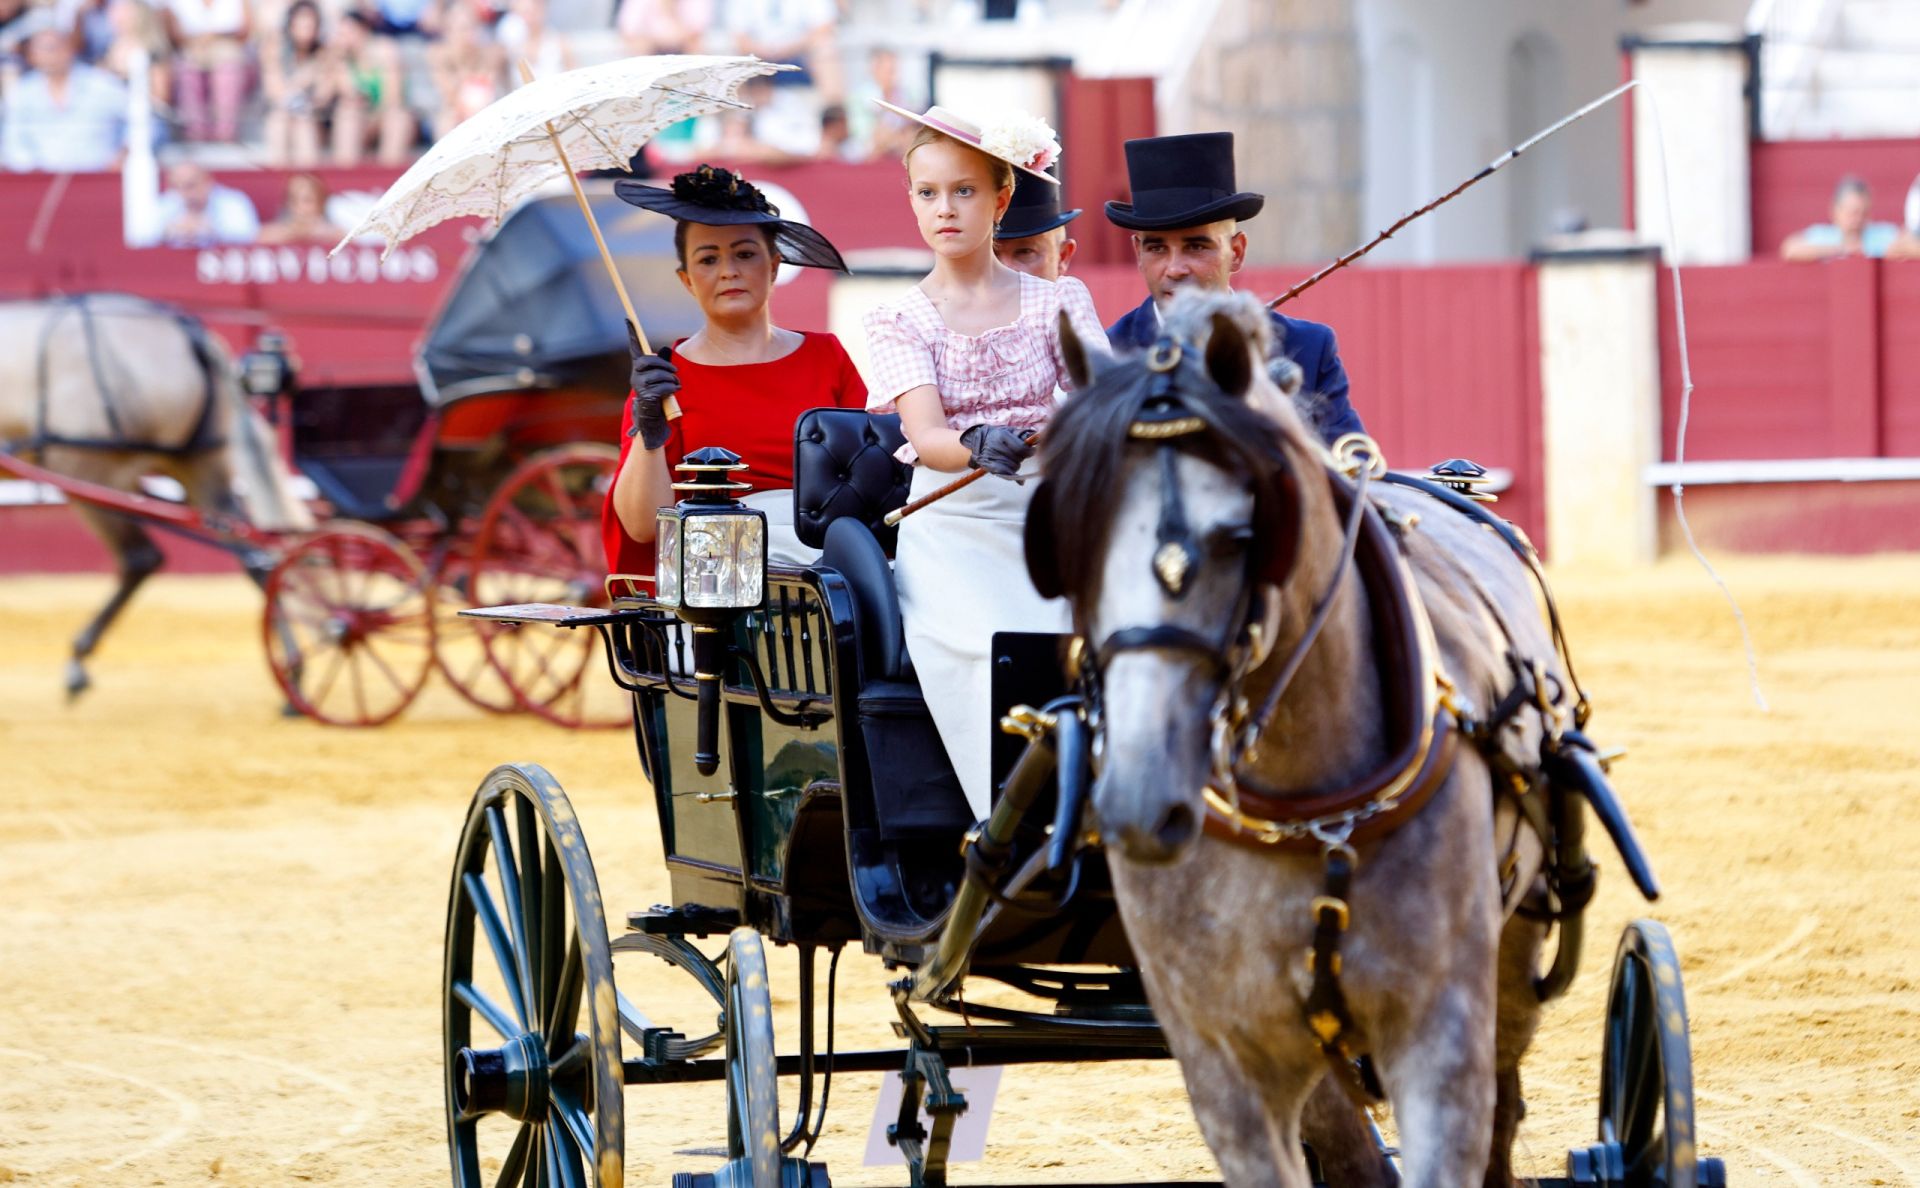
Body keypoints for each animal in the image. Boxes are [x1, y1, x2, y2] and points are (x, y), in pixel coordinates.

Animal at [0, 295, 311, 698]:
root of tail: (184, 329)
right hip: (197, 466)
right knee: (257, 558)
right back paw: (294, 673)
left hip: (88, 472)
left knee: (140, 557)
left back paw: (78, 659)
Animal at [1036, 289, 1559, 1188]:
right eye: (1068, 531)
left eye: (1247, 534)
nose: (1138, 797)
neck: (1305, 801)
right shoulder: (1225, 1063)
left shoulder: (1439, 1037)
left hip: (1517, 944)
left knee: (1504, 1100)